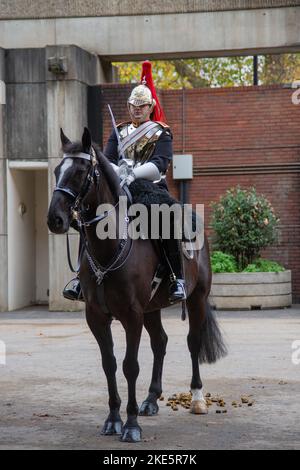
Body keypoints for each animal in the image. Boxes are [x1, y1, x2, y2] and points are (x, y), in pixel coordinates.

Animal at [47, 126, 226, 442]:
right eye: (58, 170)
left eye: (81, 171)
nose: (54, 219)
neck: (110, 246)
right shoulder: (96, 315)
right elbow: (109, 364)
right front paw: (113, 419)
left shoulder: (132, 316)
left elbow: (130, 366)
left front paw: (130, 426)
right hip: (152, 308)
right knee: (160, 342)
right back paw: (152, 399)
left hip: (196, 299)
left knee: (193, 342)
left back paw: (197, 398)